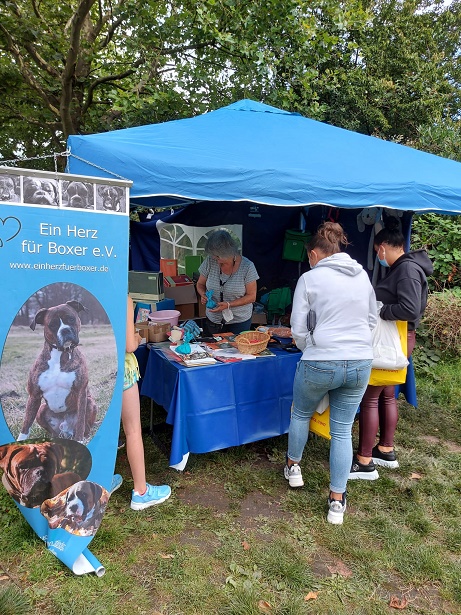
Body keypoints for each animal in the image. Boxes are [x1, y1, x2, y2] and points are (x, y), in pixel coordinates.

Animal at [17, 301, 98, 442]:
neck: (60, 355)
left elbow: (81, 421)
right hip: (41, 409)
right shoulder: (34, 396)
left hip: (90, 402)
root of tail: (65, 430)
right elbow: (26, 424)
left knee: (85, 427)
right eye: (52, 325)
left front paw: (80, 441)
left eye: (71, 319)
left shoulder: (81, 392)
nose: (65, 330)